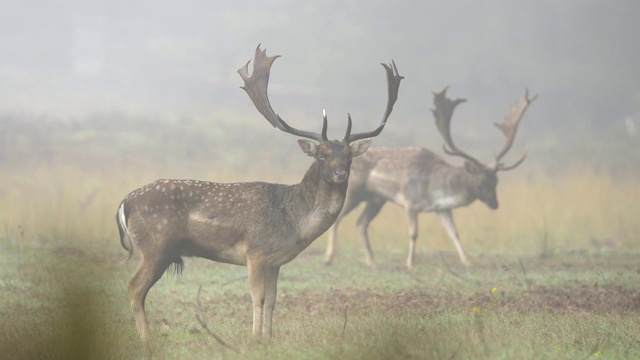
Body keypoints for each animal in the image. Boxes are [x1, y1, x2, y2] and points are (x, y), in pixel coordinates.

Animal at [115, 44, 402, 348]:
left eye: (348, 156)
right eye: (322, 155)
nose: (340, 173)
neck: (293, 222)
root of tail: (124, 202)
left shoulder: (275, 261)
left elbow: (273, 300)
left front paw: (269, 336)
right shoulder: (255, 251)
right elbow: (258, 297)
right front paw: (254, 337)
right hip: (156, 245)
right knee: (134, 287)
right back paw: (147, 339)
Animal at [324, 86, 536, 268]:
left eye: (496, 181)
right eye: (481, 182)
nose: (495, 204)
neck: (434, 187)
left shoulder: (442, 208)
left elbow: (454, 232)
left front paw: (467, 261)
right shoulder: (410, 202)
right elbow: (413, 233)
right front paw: (410, 263)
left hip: (376, 199)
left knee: (361, 224)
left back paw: (372, 262)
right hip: (354, 193)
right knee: (339, 219)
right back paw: (329, 258)